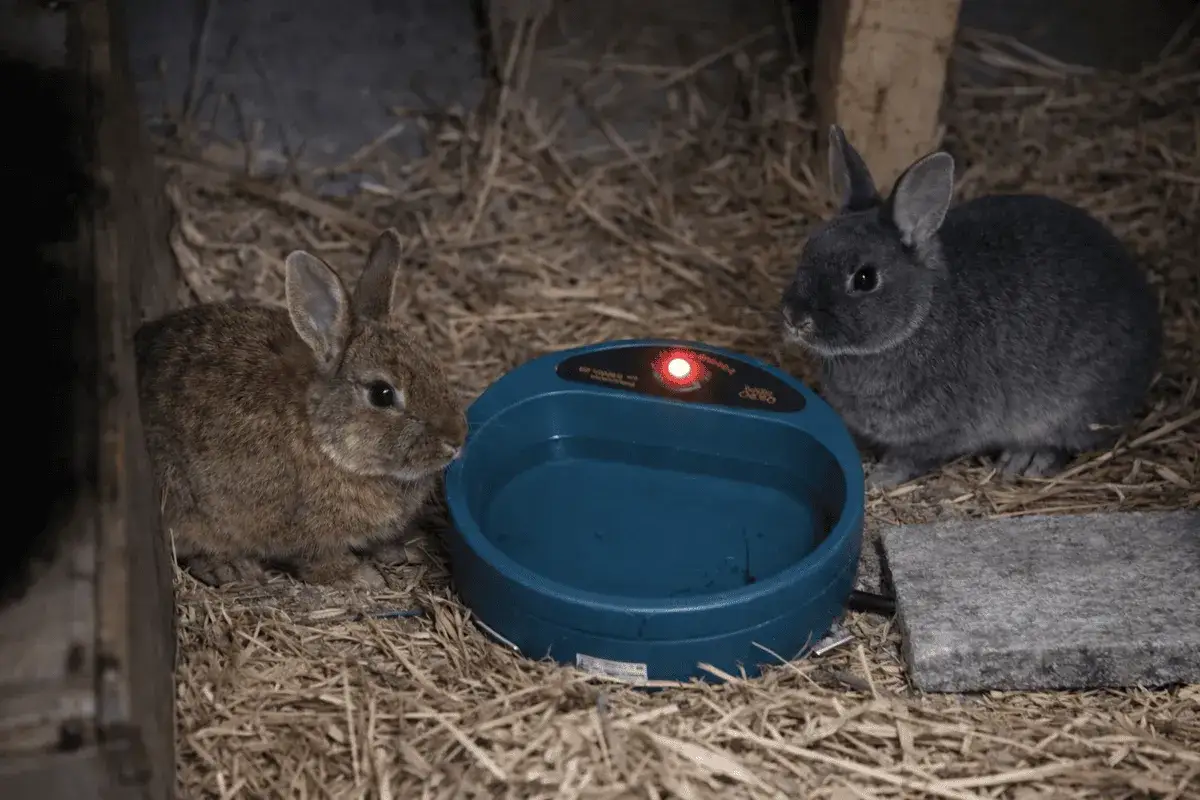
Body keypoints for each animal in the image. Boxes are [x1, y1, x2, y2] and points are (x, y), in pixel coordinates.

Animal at [135, 229, 468, 588]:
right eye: (382, 394)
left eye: (434, 363)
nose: (456, 440)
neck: (325, 438)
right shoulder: (308, 534)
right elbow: (319, 562)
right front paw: (362, 576)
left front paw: (405, 548)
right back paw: (232, 569)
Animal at [779, 125, 1162, 490]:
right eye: (808, 248)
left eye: (864, 278)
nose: (795, 318)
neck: (920, 317)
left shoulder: (938, 433)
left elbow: (910, 459)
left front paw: (880, 478)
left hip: (1072, 408)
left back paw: (1026, 459)